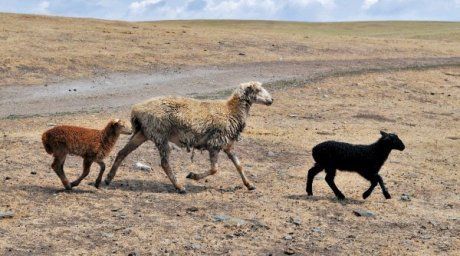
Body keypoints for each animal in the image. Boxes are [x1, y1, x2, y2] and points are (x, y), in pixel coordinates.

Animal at [104, 81, 274, 193]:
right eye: (258, 90)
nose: (271, 100)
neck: (231, 110)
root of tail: (136, 109)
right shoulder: (215, 143)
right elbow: (214, 169)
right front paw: (193, 176)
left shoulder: (227, 145)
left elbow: (239, 165)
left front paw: (249, 184)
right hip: (160, 135)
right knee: (164, 163)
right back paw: (179, 187)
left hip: (144, 133)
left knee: (122, 153)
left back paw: (108, 179)